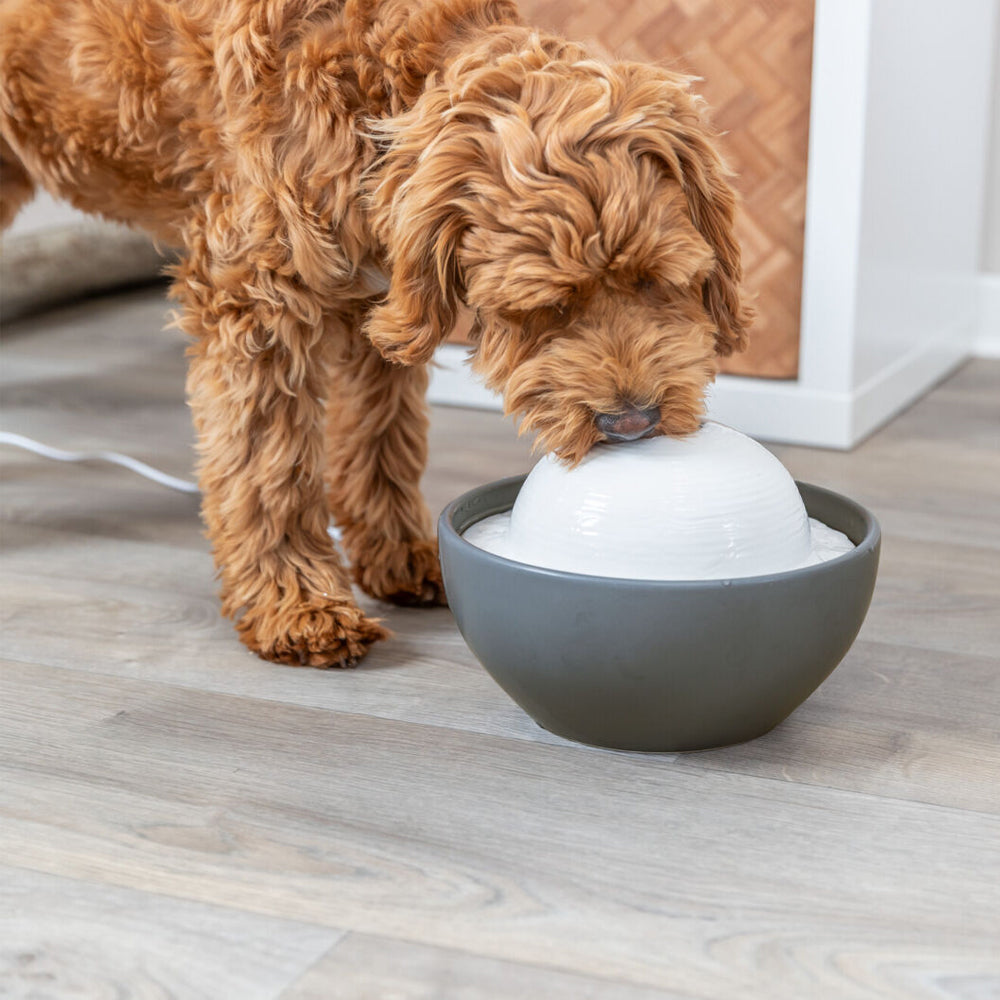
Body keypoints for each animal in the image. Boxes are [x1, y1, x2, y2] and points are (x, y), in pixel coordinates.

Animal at [0, 3, 752, 668]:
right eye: (549, 306)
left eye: (656, 279)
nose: (633, 422)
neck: (375, 74)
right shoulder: (256, 304)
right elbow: (267, 467)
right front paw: (296, 603)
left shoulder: (380, 302)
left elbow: (380, 435)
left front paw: (398, 555)